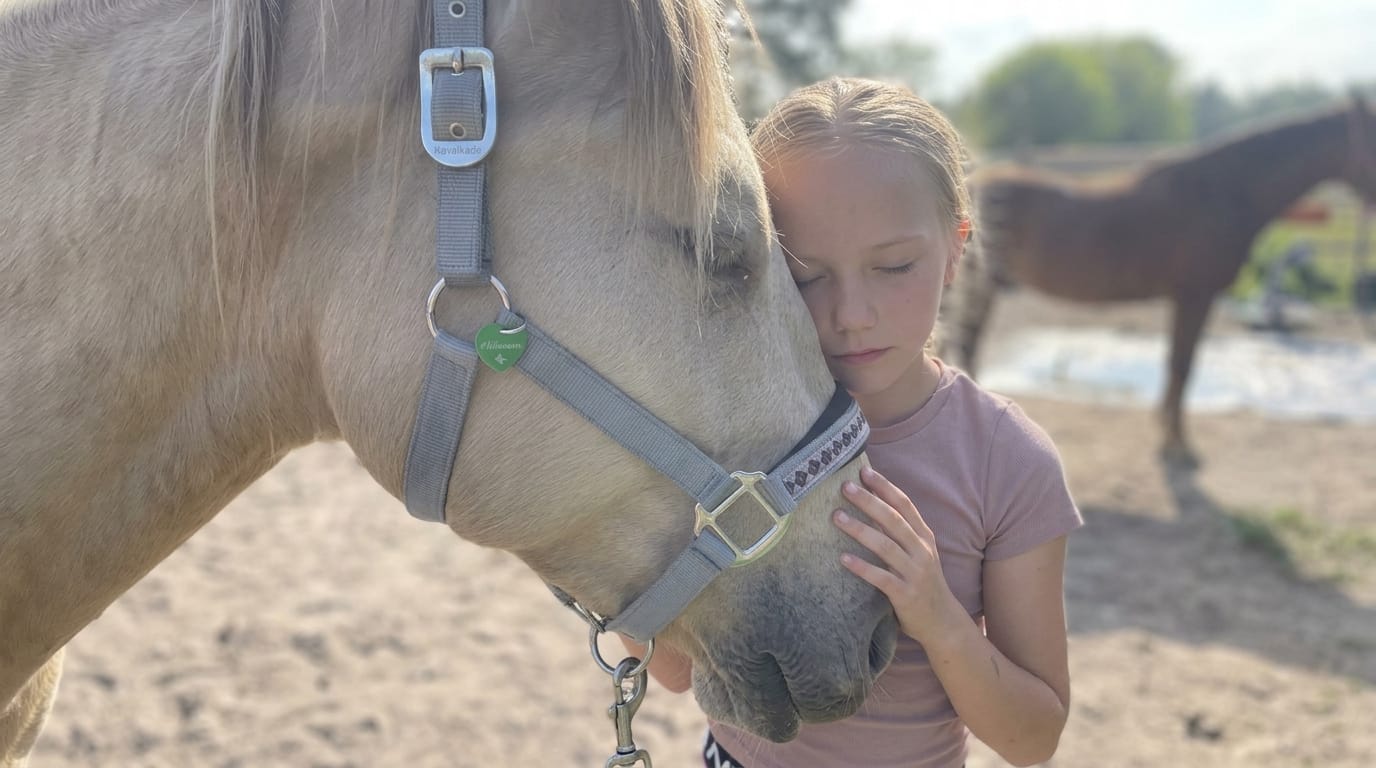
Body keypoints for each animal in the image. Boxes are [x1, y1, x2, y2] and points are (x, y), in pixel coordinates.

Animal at [948, 97, 1376, 464]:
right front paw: (1178, 446)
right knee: (966, 344)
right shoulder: (1194, 297)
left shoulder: (1186, 299)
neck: (1225, 190)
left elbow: (1176, 366)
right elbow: (1182, 367)